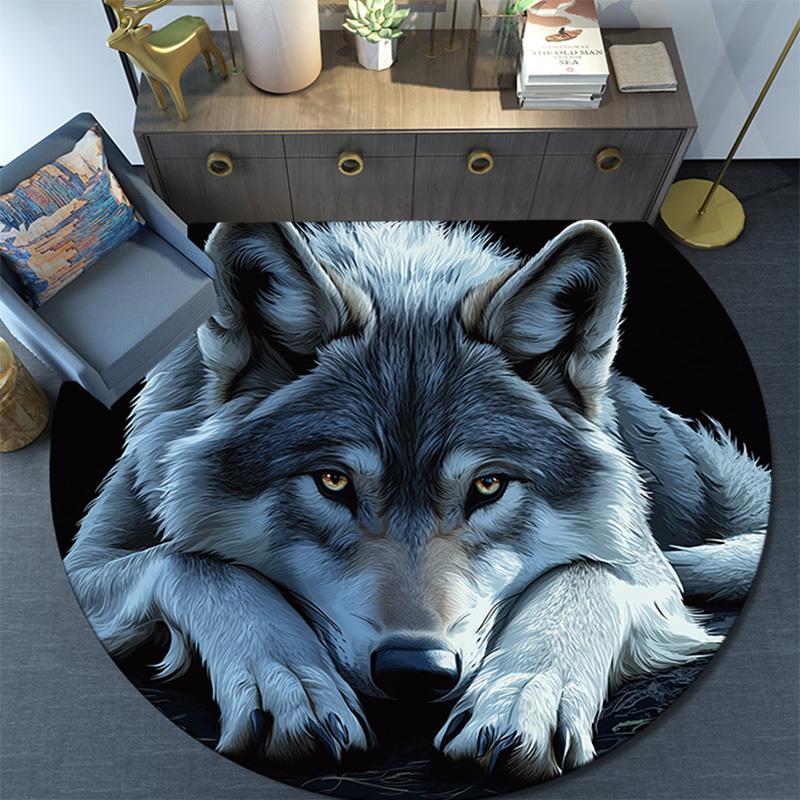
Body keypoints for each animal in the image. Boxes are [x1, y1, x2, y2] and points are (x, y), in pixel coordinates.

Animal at [64, 220, 770, 782]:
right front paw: (291, 682)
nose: (416, 668)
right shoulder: (86, 562)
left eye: (488, 486)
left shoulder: (640, 563)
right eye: (334, 483)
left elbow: (585, 575)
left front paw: (522, 696)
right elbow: (193, 561)